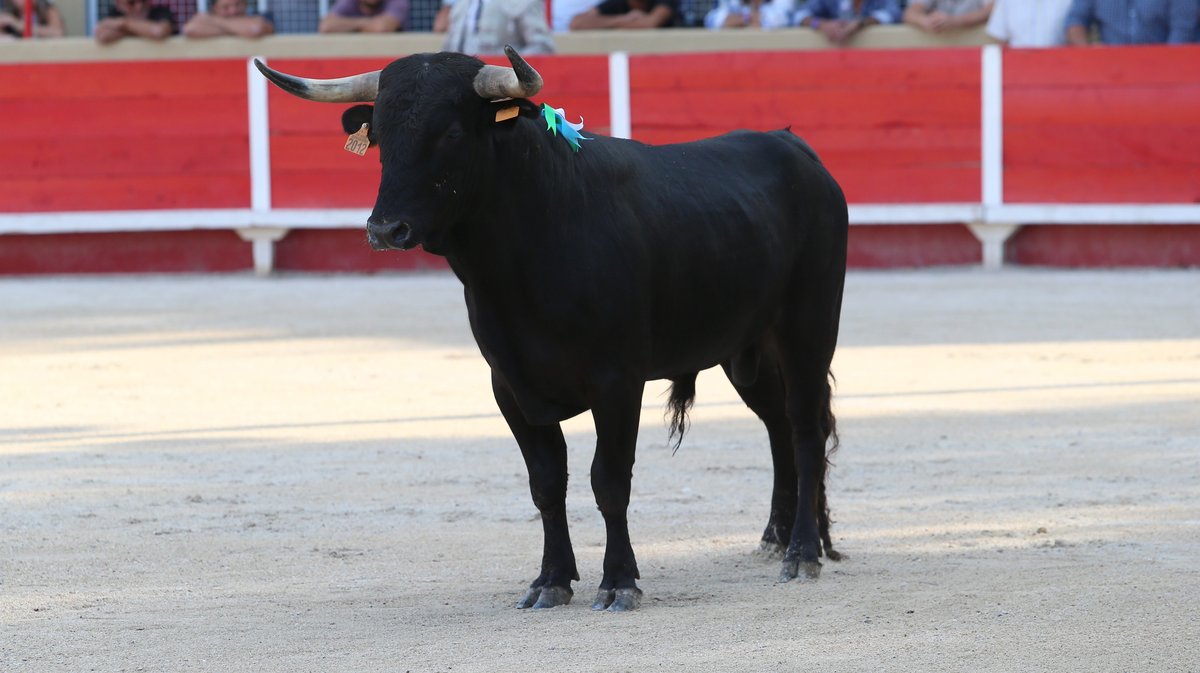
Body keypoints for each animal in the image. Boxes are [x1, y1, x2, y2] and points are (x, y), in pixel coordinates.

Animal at [258, 47, 849, 611]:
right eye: (379, 135)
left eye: (450, 132)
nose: (385, 229)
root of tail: (796, 147)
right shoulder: (509, 385)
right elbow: (546, 483)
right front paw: (551, 581)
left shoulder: (617, 381)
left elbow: (608, 480)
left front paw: (619, 582)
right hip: (745, 349)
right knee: (776, 425)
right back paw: (777, 538)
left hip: (808, 329)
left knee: (804, 427)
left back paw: (801, 553)